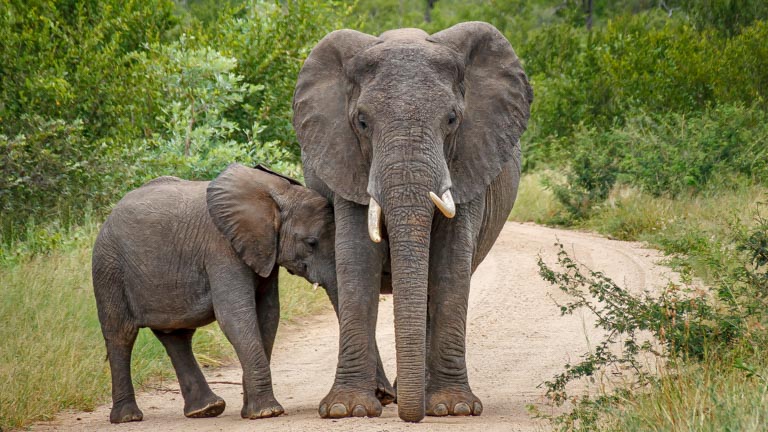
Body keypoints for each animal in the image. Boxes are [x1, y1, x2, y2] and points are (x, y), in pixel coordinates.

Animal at [92, 163, 337, 423]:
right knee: (121, 334)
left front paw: (251, 410)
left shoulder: (263, 251)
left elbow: (268, 315)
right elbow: (235, 316)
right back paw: (128, 417)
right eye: (311, 243)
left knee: (176, 335)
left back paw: (206, 409)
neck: (276, 192)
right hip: (108, 268)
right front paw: (267, 412)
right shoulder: (221, 249)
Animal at [292, 22, 533, 422]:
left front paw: (454, 408)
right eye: (362, 122)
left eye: (452, 119)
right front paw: (347, 409)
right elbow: (356, 261)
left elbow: (451, 265)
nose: (412, 416)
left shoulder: (470, 160)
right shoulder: (346, 161)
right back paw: (386, 395)